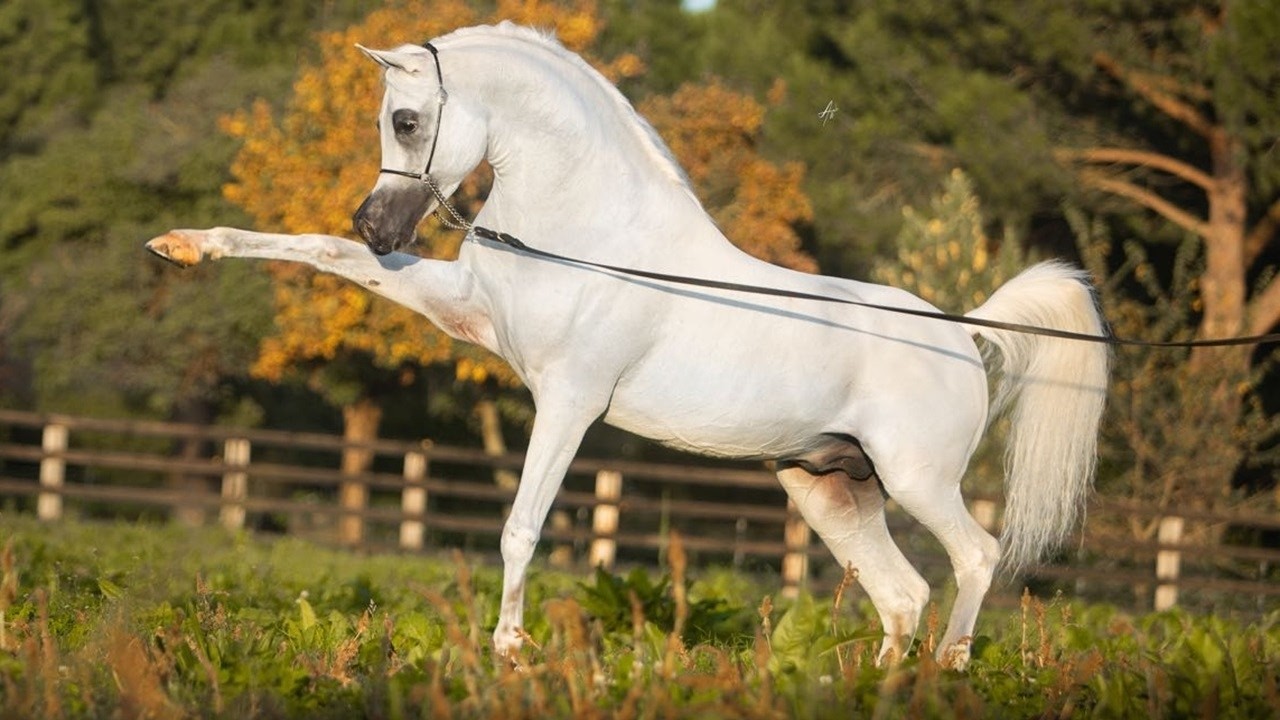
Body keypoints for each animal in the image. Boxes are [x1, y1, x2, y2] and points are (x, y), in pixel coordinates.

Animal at [147, 21, 1109, 670]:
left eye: (410, 121)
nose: (377, 224)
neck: (588, 231)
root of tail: (965, 329)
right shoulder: (465, 312)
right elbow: (319, 253)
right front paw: (183, 245)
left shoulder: (568, 402)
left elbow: (522, 526)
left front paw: (509, 648)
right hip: (831, 490)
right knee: (902, 596)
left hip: (915, 479)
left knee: (975, 560)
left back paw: (950, 668)